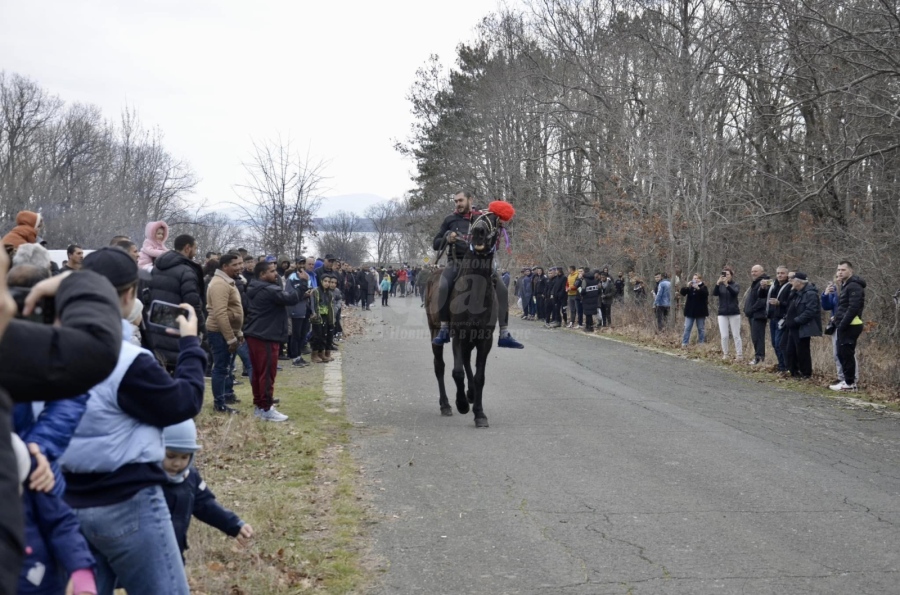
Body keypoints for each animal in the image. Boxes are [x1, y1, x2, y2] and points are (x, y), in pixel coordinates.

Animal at [424, 212, 500, 426]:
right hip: (435, 331)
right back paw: (446, 405)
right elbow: (456, 372)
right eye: (476, 219)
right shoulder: (458, 336)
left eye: (494, 218)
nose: (478, 232)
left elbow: (480, 376)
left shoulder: (484, 339)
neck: (475, 293)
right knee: (439, 366)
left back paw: (471, 394)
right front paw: (462, 404)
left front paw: (479, 413)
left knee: (466, 362)